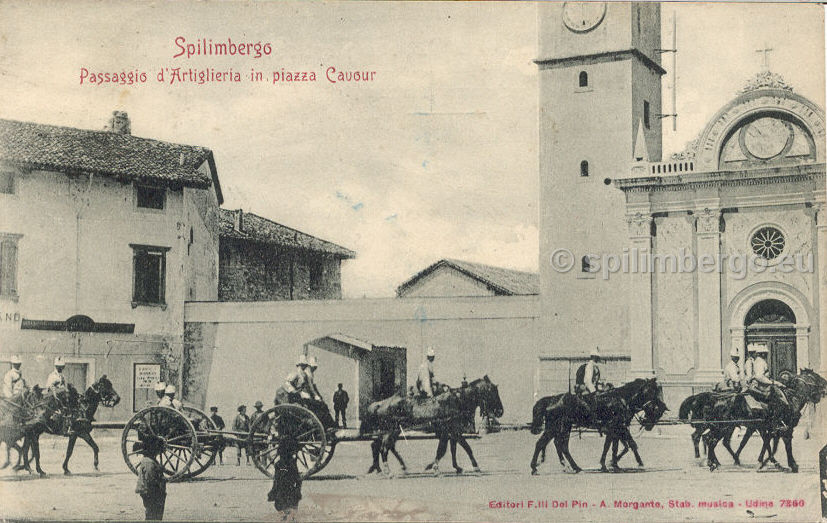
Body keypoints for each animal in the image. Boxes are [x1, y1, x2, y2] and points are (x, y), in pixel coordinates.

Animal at [362, 376, 504, 474]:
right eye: (493, 391)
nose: (500, 411)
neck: (457, 401)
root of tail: (380, 404)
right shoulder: (452, 432)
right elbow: (453, 449)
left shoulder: (452, 432)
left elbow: (452, 449)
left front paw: (456, 467)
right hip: (390, 431)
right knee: (383, 448)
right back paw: (387, 470)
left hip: (391, 431)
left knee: (380, 446)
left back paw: (382, 467)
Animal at [532, 378, 668, 476]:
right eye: (653, 390)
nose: (649, 426)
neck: (621, 399)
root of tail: (550, 399)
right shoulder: (616, 428)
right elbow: (617, 446)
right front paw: (612, 464)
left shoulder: (616, 429)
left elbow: (614, 447)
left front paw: (611, 464)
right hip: (556, 428)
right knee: (544, 444)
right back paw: (535, 467)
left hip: (562, 427)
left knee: (559, 445)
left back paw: (572, 467)